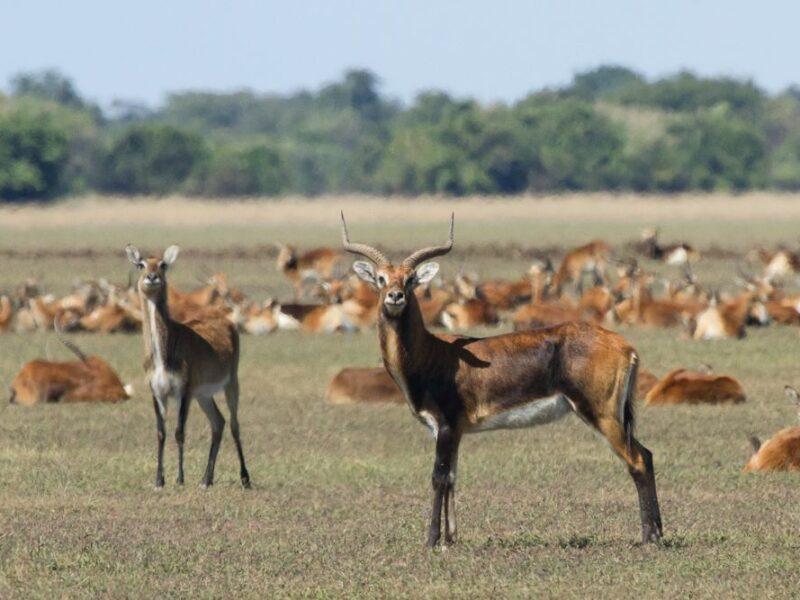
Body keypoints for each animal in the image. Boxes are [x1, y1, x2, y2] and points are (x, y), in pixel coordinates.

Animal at [125, 245, 251, 489]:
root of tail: (227, 320)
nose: (151, 277)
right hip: (203, 395)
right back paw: (206, 480)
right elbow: (161, 433)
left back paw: (245, 478)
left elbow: (179, 432)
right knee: (218, 423)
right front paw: (159, 481)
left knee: (234, 424)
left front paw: (180, 479)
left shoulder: (183, 391)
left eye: (163, 264)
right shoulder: (157, 392)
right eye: (140, 264)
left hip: (231, 383)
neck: (165, 353)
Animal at [340, 213, 662, 547]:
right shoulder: (451, 430)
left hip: (601, 415)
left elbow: (438, 477)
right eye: (381, 278)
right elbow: (452, 477)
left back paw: (648, 538)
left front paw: (432, 540)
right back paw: (657, 533)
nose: (395, 296)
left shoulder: (446, 425)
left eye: (411, 279)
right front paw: (450, 539)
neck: (432, 354)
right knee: (647, 455)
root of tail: (625, 346)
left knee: (637, 461)